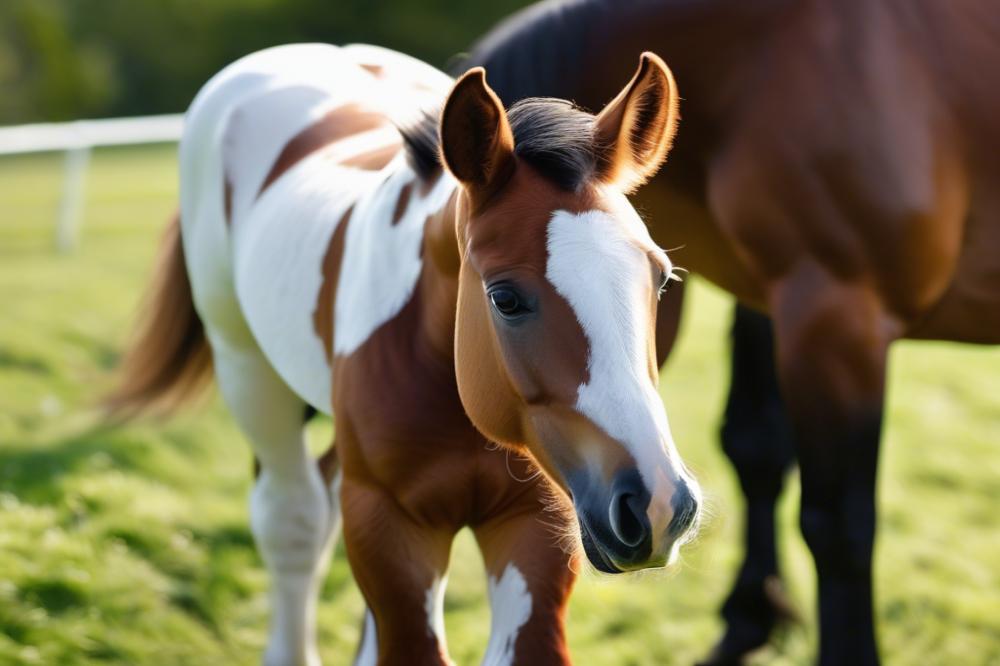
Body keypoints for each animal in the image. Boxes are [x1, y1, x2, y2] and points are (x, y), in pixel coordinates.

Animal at [111, 44, 704, 660]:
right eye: (505, 298)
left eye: (660, 279)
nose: (659, 503)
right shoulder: (386, 522)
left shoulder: (535, 519)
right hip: (248, 375)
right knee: (291, 518)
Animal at [466, 0, 1000, 660]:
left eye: (505, 300)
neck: (763, 61)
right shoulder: (773, 295)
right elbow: (756, 446)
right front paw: (749, 621)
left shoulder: (837, 316)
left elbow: (838, 524)